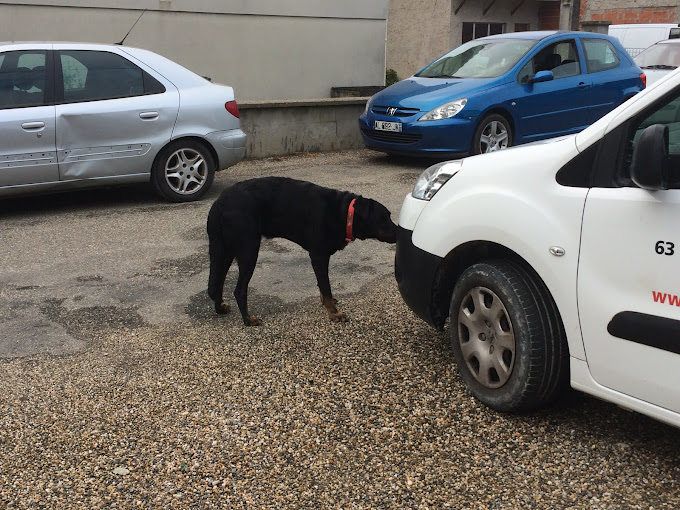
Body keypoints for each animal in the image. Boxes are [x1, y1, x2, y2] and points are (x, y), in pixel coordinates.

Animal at [207, 177, 398, 324]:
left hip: (225, 249)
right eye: (384, 218)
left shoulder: (320, 257)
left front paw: (326, 303)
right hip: (249, 249)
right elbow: (326, 286)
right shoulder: (319, 255)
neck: (344, 213)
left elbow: (322, 285)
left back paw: (220, 308)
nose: (399, 233)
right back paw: (248, 320)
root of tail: (219, 203)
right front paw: (334, 313)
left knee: (217, 282)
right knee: (239, 290)